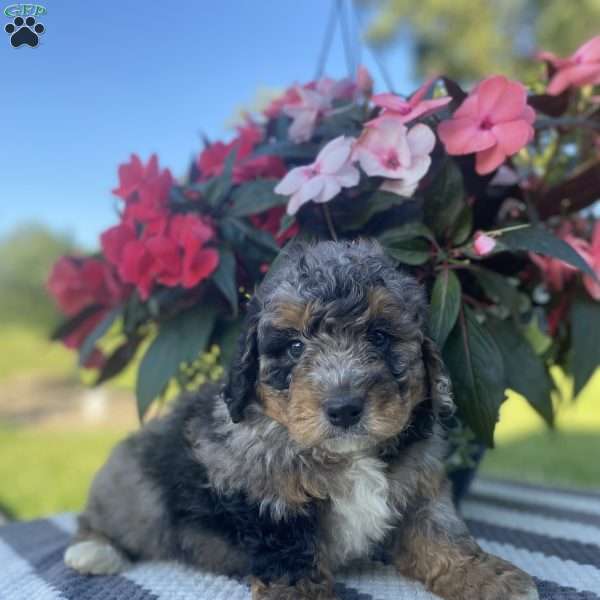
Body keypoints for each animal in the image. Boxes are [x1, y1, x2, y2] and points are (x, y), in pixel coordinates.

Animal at [65, 240, 540, 600]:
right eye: (294, 347)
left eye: (379, 337)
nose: (344, 408)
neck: (347, 456)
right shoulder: (266, 498)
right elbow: (291, 558)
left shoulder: (420, 488)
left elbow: (442, 535)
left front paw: (489, 578)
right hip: (133, 490)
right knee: (100, 519)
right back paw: (93, 552)